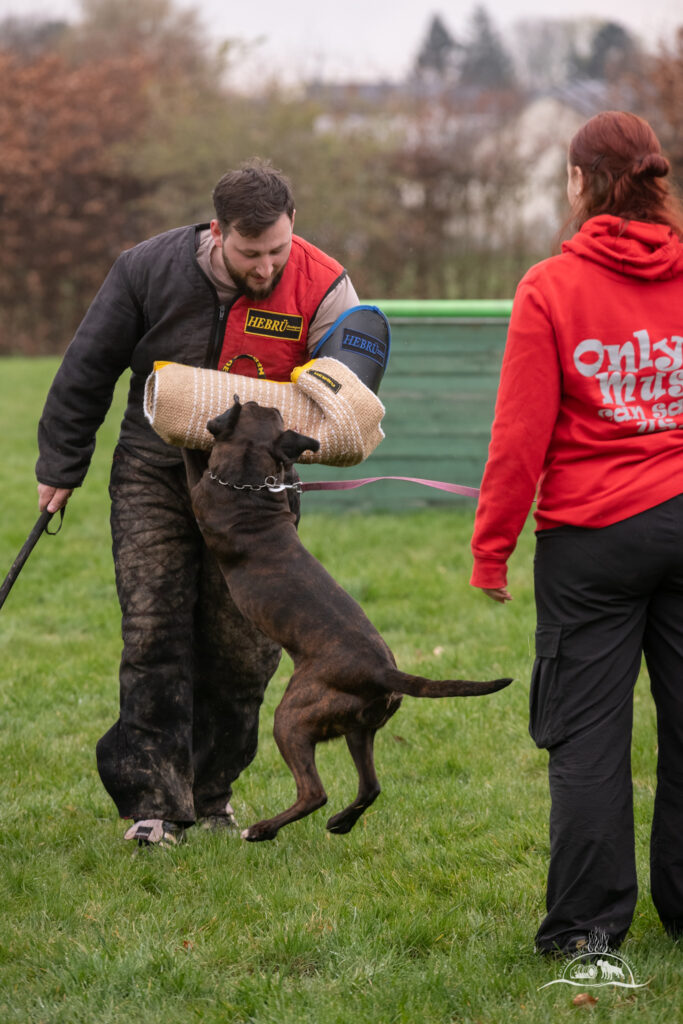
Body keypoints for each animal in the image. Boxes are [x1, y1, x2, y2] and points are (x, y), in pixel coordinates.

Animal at [189, 399, 509, 839]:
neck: (250, 480)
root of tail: (384, 672)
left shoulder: (200, 493)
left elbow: (190, 468)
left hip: (292, 718)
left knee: (314, 792)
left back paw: (263, 830)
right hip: (361, 731)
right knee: (370, 786)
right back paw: (341, 822)